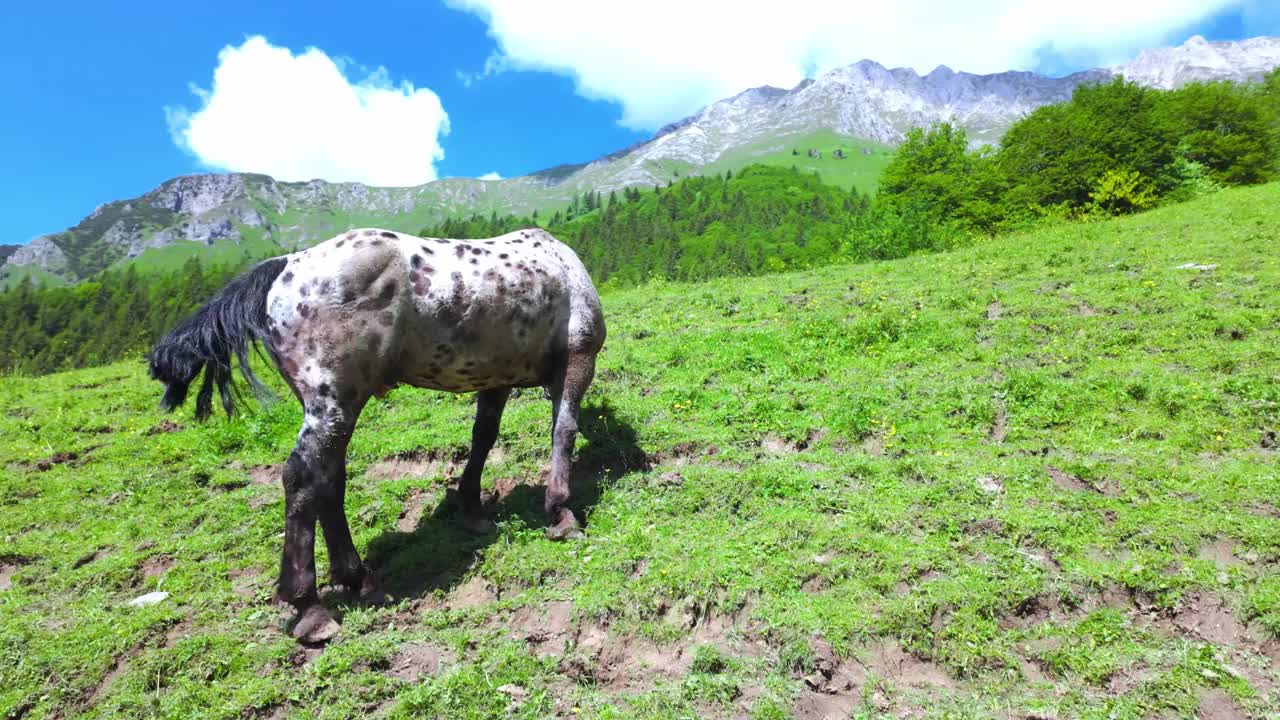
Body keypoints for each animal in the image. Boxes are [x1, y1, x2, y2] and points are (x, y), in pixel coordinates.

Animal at [147, 226, 606, 640]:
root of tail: (287, 264)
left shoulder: (495, 378)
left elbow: (483, 437)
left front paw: (473, 510)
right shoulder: (577, 360)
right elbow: (563, 430)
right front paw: (561, 511)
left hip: (334, 410)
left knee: (328, 480)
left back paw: (357, 578)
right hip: (333, 404)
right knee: (302, 479)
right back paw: (311, 609)